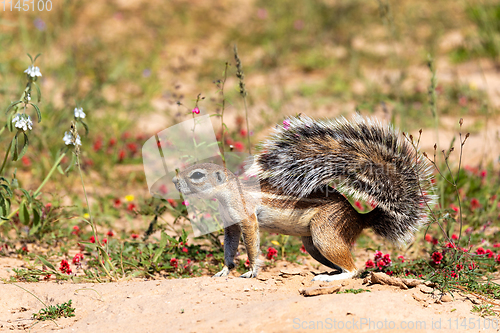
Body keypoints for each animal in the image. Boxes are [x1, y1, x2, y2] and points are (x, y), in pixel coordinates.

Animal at [172, 114, 434, 280]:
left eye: (197, 175)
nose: (175, 181)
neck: (227, 193)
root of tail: (361, 217)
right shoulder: (231, 225)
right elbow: (229, 248)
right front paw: (224, 270)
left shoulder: (246, 217)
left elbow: (252, 245)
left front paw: (251, 271)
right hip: (312, 245)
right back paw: (328, 272)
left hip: (325, 232)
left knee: (354, 269)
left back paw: (331, 278)